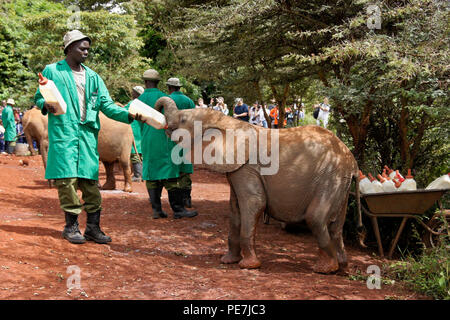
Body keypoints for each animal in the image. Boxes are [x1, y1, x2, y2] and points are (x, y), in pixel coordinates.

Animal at [153, 96, 364, 274]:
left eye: (183, 120)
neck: (227, 122)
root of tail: (353, 162)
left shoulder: (247, 167)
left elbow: (254, 203)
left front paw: (248, 266)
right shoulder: (238, 169)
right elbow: (235, 210)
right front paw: (227, 261)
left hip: (331, 175)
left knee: (316, 218)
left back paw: (324, 269)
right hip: (339, 181)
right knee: (336, 227)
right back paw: (342, 267)